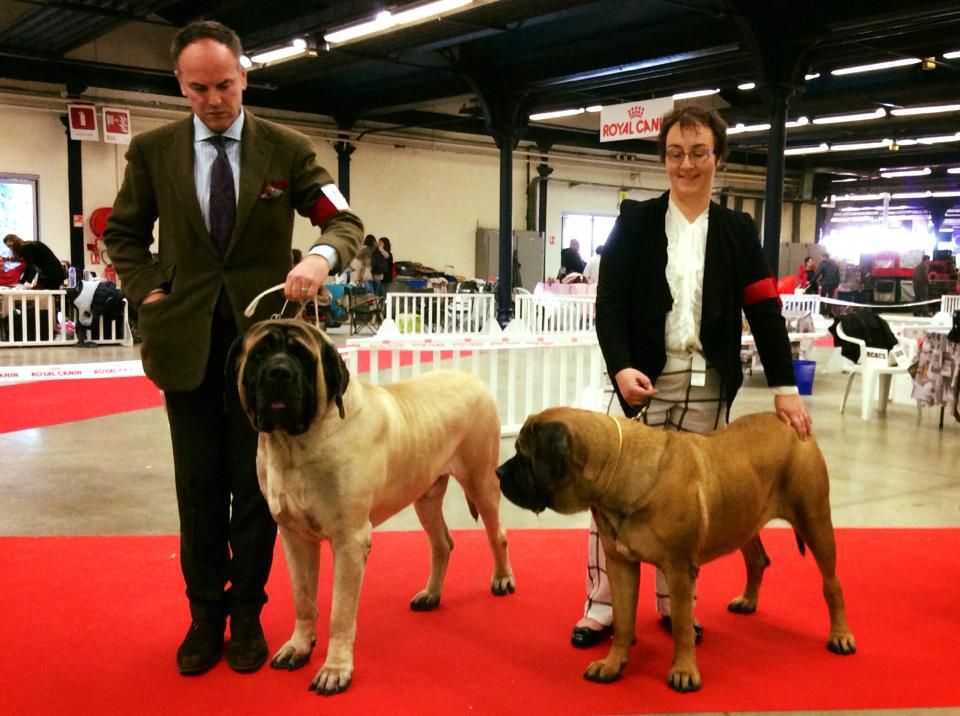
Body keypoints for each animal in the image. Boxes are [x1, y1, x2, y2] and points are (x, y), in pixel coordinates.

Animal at [228, 320, 512, 692]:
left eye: (302, 356)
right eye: (260, 352)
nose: (279, 372)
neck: (294, 444)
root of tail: (474, 380)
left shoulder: (350, 540)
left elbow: (339, 612)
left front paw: (335, 669)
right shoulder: (294, 537)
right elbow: (303, 598)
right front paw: (299, 647)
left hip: (481, 481)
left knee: (497, 534)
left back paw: (502, 579)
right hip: (425, 495)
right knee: (442, 543)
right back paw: (431, 594)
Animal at [496, 408, 856, 692]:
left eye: (523, 456)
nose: (499, 472)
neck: (617, 469)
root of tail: (793, 424)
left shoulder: (679, 569)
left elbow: (682, 626)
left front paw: (684, 672)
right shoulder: (620, 564)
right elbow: (623, 622)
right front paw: (612, 665)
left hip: (814, 519)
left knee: (833, 583)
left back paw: (841, 635)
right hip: (743, 520)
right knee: (758, 560)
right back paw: (748, 601)